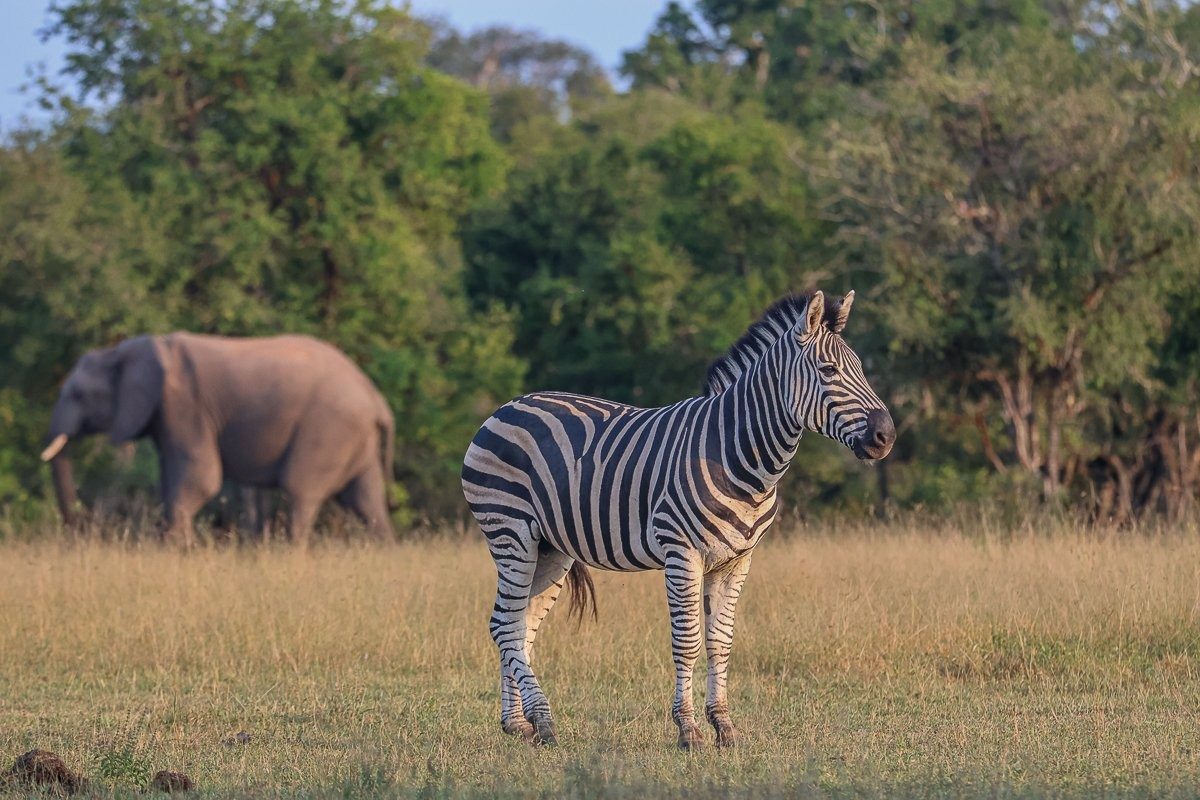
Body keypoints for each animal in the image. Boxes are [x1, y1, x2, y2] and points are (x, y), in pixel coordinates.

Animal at [42, 333, 396, 545]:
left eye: (78, 394)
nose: (77, 529)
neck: (123, 350)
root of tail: (376, 398)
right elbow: (171, 482)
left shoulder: (185, 406)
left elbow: (201, 480)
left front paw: (177, 550)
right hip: (355, 437)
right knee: (366, 500)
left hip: (328, 427)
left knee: (302, 492)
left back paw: (289, 553)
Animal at [461, 290, 895, 748]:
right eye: (829, 370)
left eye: (861, 368)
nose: (886, 437)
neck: (739, 454)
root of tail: (507, 407)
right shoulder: (682, 553)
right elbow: (687, 641)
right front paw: (688, 729)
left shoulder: (738, 560)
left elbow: (720, 641)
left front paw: (723, 724)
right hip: (510, 532)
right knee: (504, 625)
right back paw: (542, 720)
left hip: (550, 549)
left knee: (519, 626)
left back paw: (519, 723)